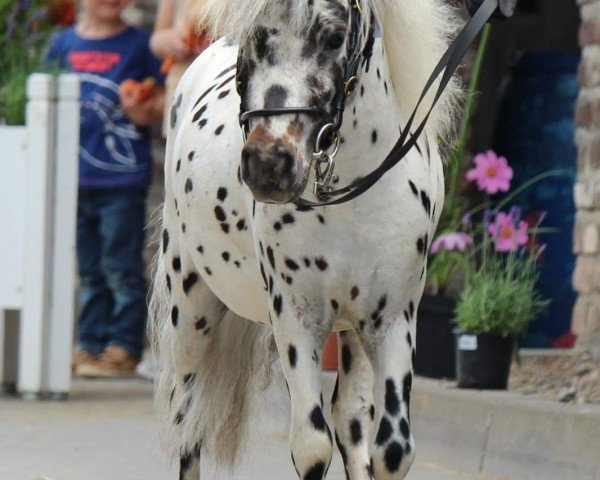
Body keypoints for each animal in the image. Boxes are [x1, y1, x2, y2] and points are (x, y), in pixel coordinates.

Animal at [150, 0, 460, 480]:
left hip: (352, 329)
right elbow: (312, 446)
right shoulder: (296, 319)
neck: (351, 198)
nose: (268, 165)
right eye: (252, 36)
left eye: (333, 37)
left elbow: (391, 449)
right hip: (191, 308)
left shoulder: (393, 320)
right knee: (187, 420)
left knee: (350, 415)